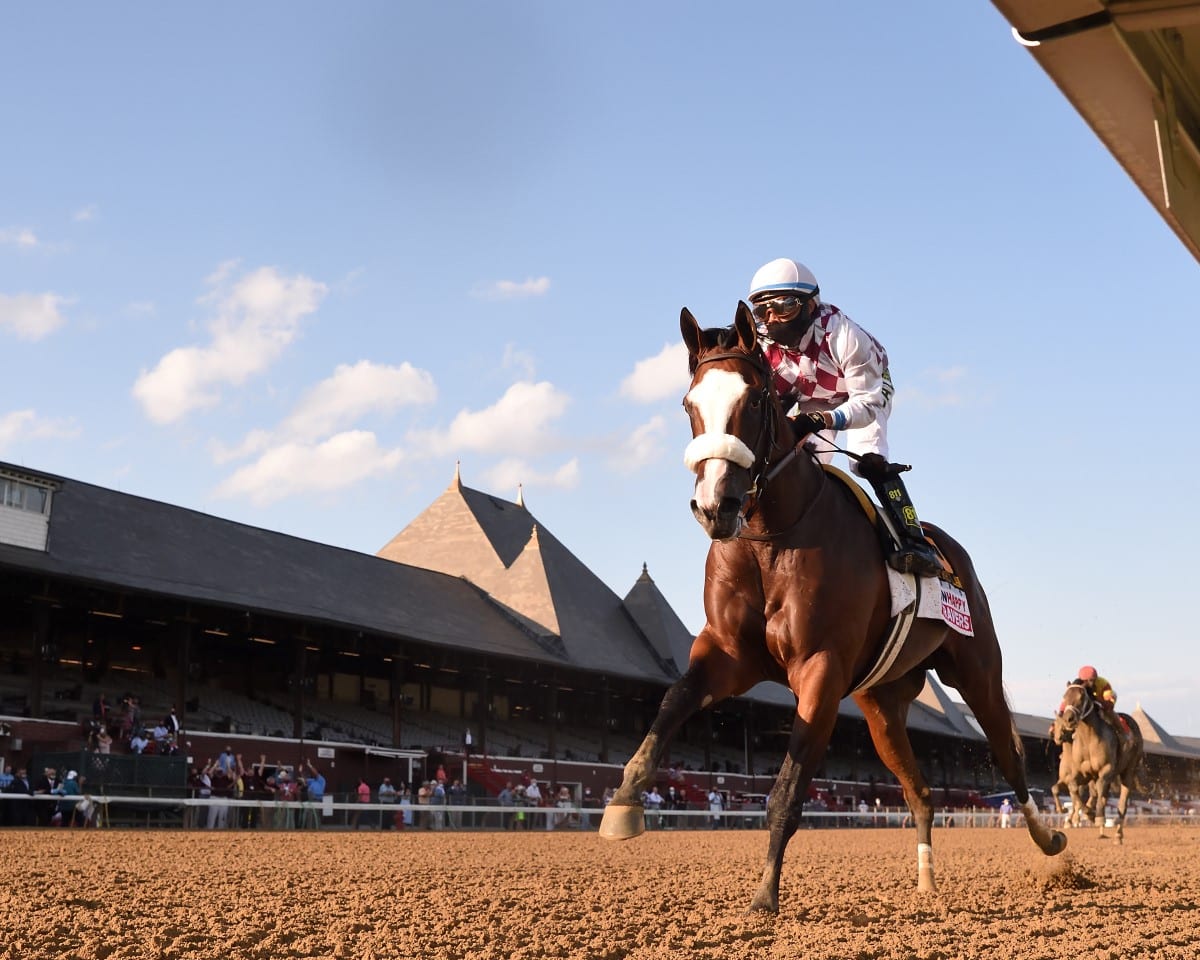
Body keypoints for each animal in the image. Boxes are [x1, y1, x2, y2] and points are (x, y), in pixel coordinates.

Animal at [600, 303, 1070, 912]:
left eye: (755, 400)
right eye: (688, 405)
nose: (714, 505)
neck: (771, 538)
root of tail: (950, 550)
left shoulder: (819, 669)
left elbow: (787, 790)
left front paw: (764, 898)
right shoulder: (727, 653)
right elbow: (672, 702)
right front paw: (624, 802)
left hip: (977, 670)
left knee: (1010, 755)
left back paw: (1049, 838)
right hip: (881, 706)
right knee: (921, 792)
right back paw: (927, 882)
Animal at [1060, 676, 1142, 844]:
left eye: (1081, 697)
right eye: (1065, 697)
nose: (1068, 719)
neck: (1088, 739)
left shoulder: (1106, 770)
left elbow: (1099, 788)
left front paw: (1097, 816)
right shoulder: (1082, 773)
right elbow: (1074, 788)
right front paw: (1088, 814)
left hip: (1128, 771)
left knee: (1122, 803)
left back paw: (1118, 835)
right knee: (1098, 794)